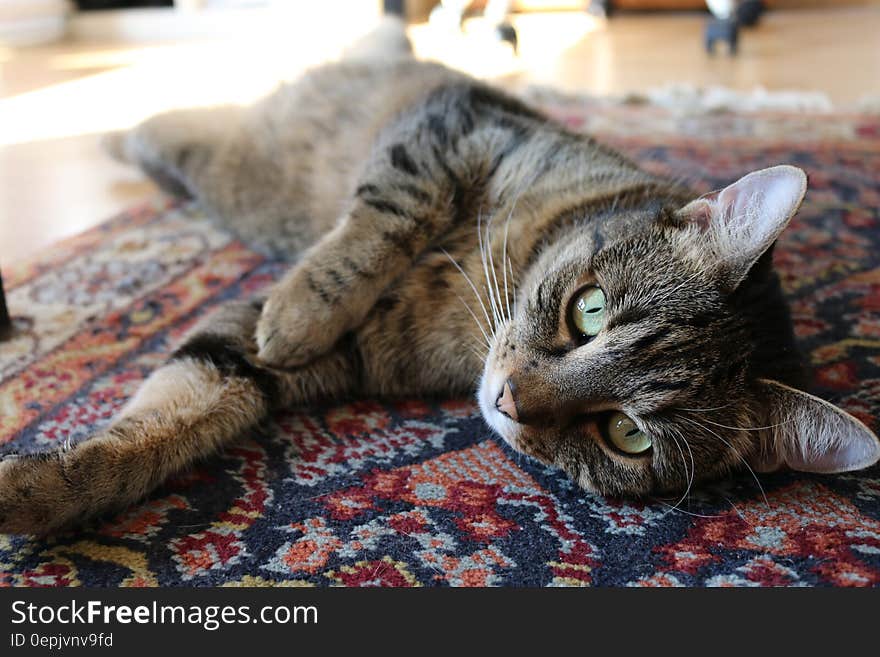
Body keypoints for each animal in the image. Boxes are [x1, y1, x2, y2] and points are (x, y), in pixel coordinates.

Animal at [1, 20, 880, 532]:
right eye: (590, 310)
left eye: (626, 435)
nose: (509, 399)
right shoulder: (454, 130)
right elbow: (387, 217)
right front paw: (301, 307)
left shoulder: (334, 354)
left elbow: (180, 409)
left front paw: (43, 491)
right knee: (168, 118)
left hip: (227, 162)